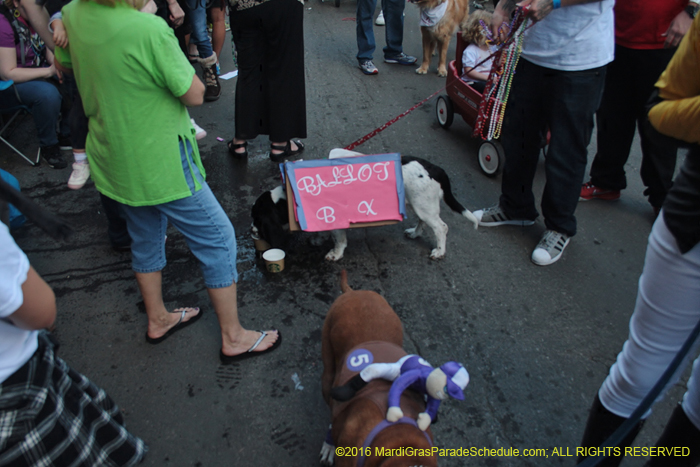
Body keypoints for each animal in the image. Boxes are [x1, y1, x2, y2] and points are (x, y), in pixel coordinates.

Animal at [250, 152, 476, 264]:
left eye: (256, 219)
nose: (251, 231)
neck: (286, 200)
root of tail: (436, 168)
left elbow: (339, 239)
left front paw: (335, 253)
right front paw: (318, 239)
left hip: (424, 206)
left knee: (441, 227)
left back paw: (439, 251)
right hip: (419, 204)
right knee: (424, 222)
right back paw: (414, 233)